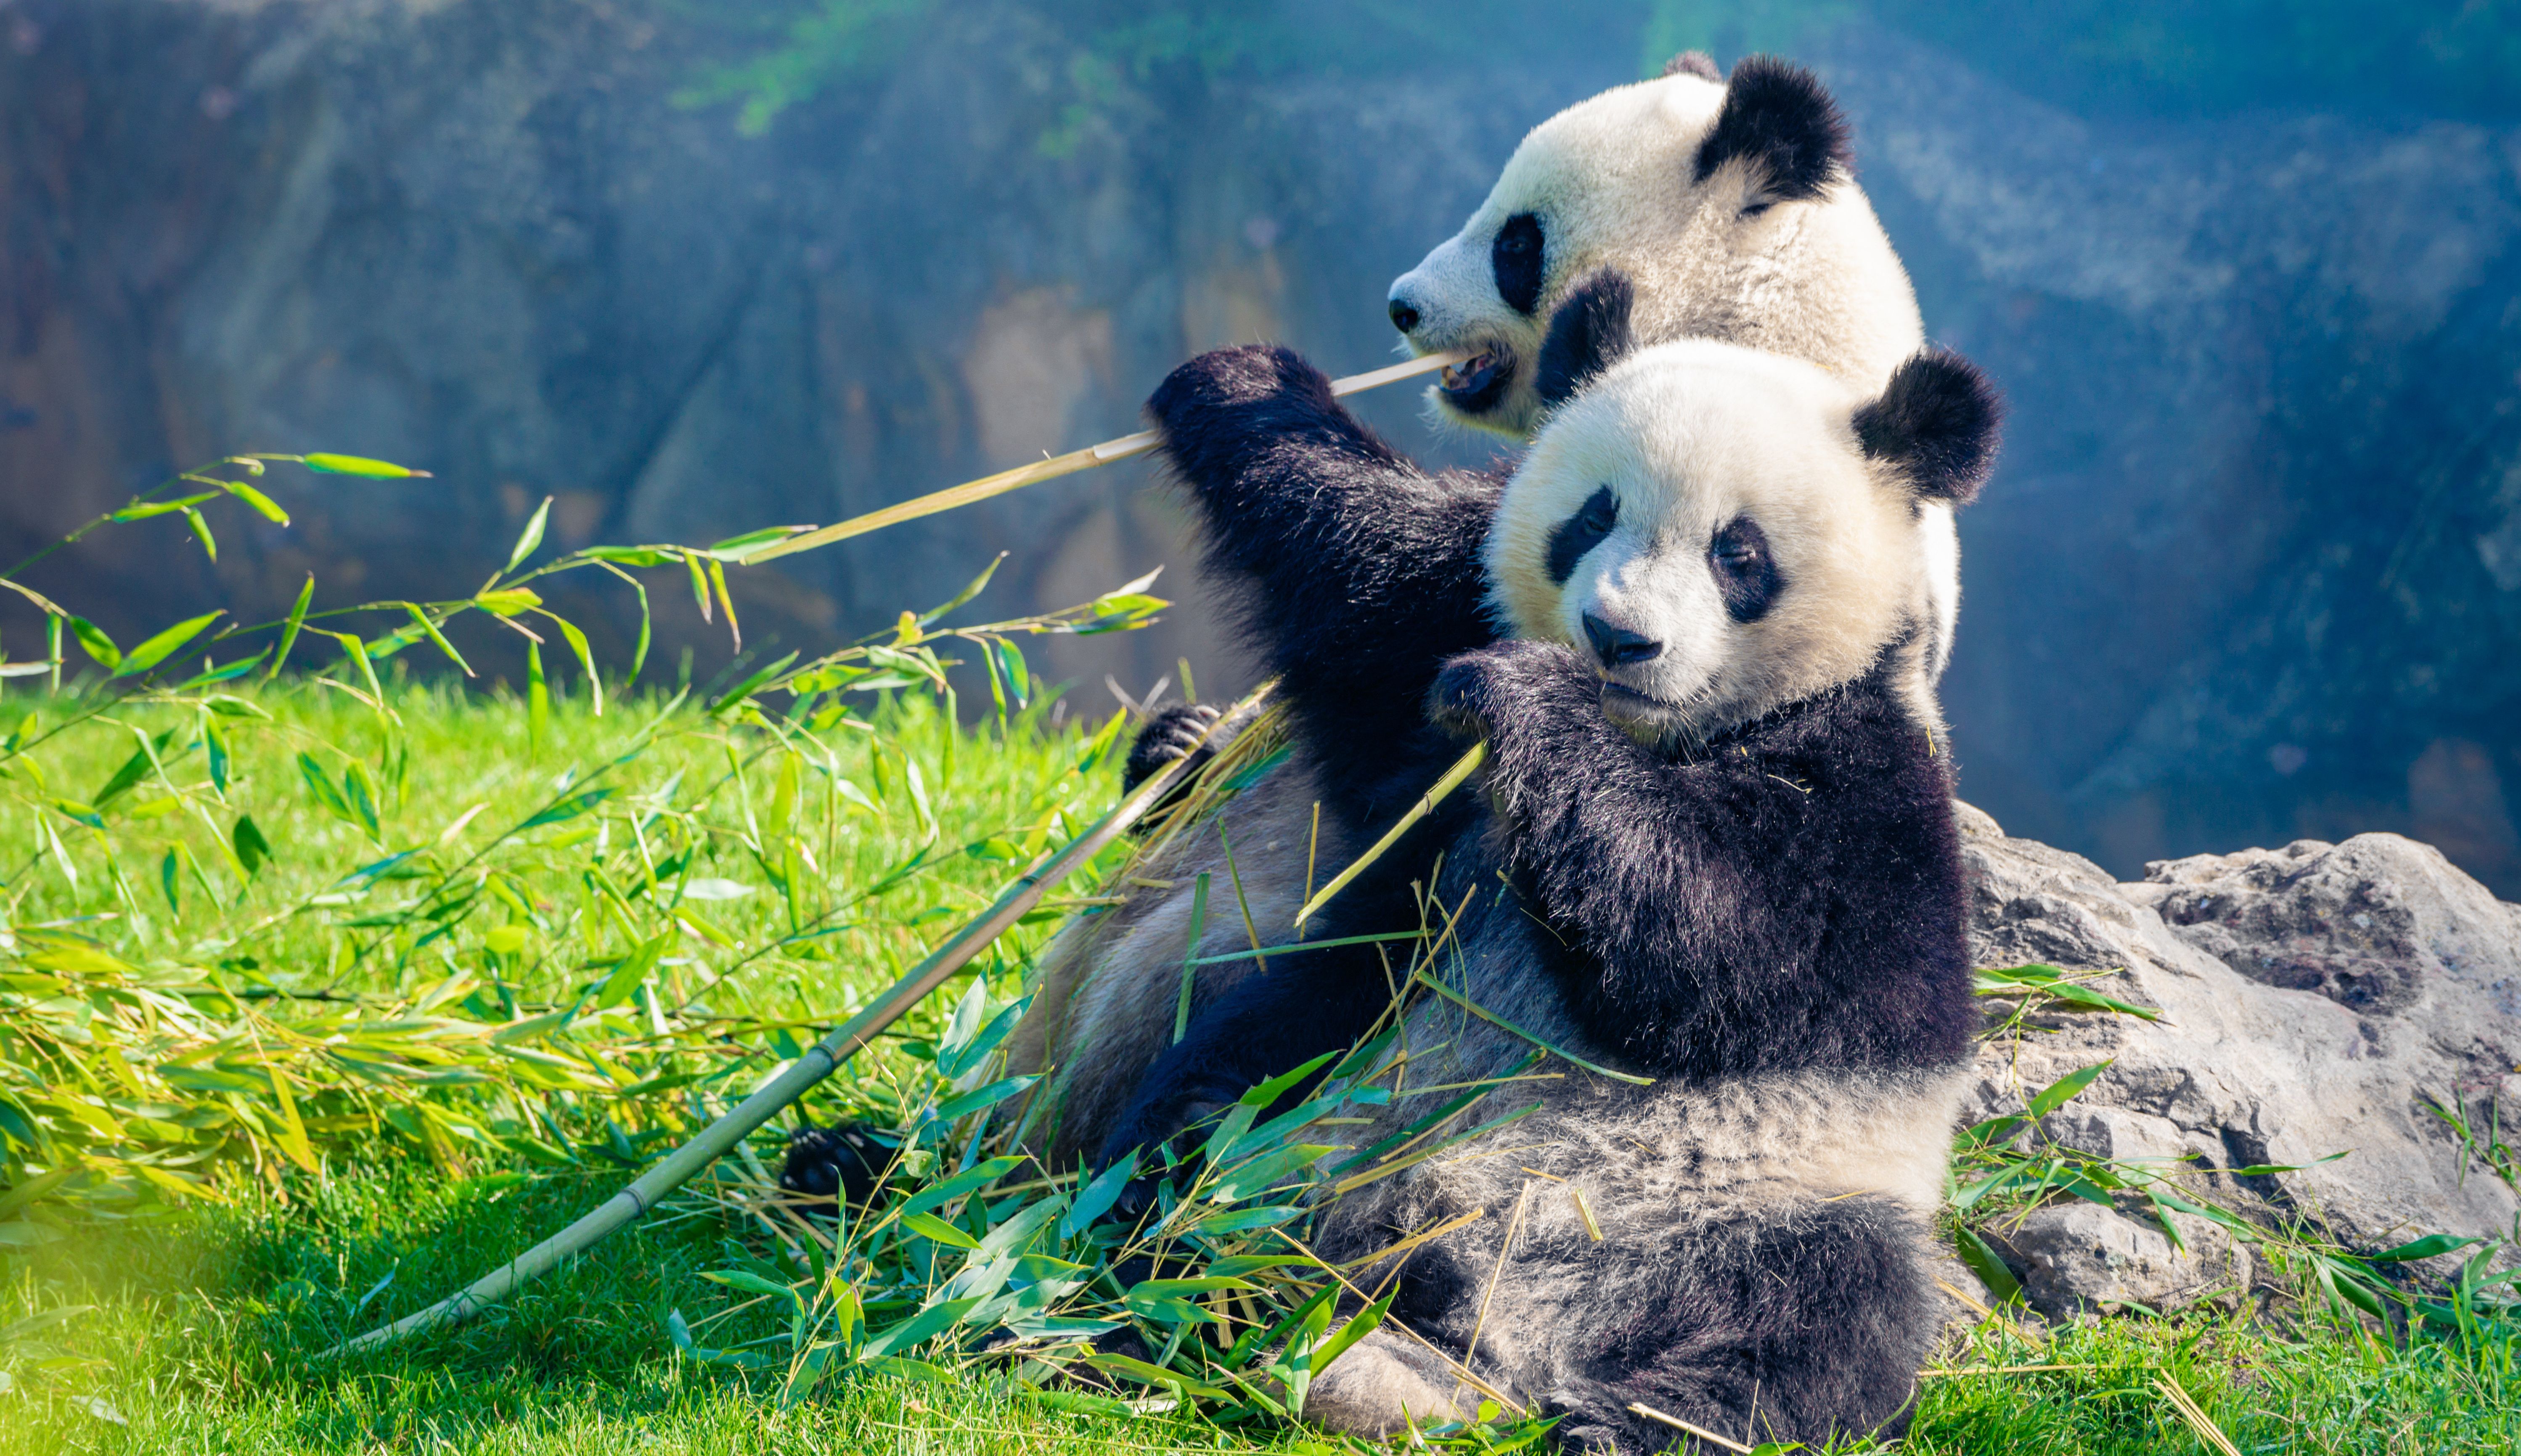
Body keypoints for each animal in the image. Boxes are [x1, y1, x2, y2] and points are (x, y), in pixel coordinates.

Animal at [989, 56, 1954, 1173]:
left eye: (1516, 242)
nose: (1401, 307)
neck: (1782, 338)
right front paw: (1175, 737)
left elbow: (1387, 595)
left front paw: (1239, 379)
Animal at [1092, 276, 2000, 1451]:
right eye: (1592, 517)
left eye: (1738, 553)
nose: (1619, 640)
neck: (1659, 737)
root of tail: (1483, 1337)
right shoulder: (1434, 689)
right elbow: (1366, 581)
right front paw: (1242, 383)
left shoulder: (1873, 794)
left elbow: (1734, 949)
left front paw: (1531, 699)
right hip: (1330, 1068)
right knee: (1201, 1119)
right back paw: (1168, 1281)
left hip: (1771, 1195)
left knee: (1823, 1321)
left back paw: (1624, 1421)